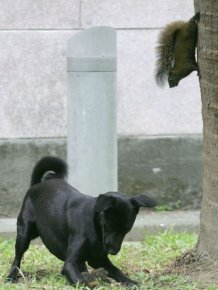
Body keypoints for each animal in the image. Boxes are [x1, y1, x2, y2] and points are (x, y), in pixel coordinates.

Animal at [6, 157, 156, 286]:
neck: (94, 225)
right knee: (17, 259)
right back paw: (11, 276)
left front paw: (132, 282)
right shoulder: (70, 263)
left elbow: (116, 271)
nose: (113, 251)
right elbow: (80, 281)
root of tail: (37, 184)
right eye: (109, 227)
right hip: (24, 233)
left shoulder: (98, 259)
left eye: (126, 230)